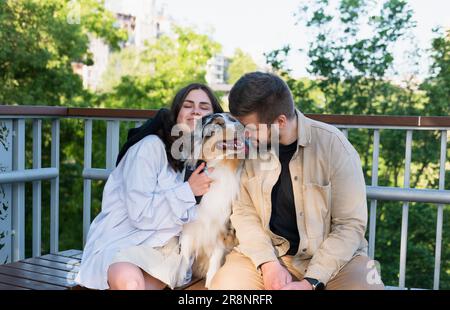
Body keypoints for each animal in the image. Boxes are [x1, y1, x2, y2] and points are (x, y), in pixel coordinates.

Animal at [178, 112, 246, 288]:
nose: (242, 126)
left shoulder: (222, 228)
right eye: (219, 124)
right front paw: (179, 279)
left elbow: (216, 257)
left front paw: (211, 281)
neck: (219, 168)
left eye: (234, 120)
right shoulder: (189, 227)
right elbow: (184, 256)